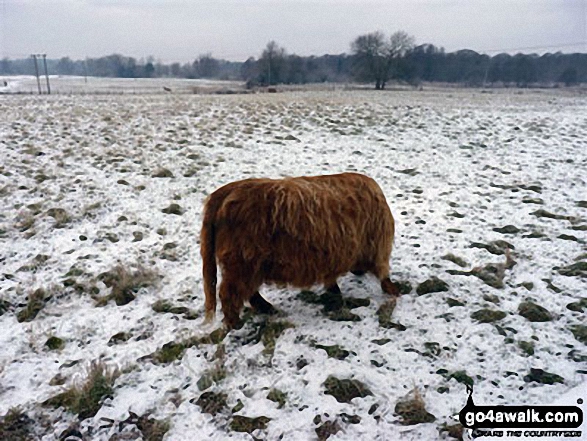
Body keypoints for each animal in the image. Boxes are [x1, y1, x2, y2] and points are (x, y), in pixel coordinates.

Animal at [202, 172, 400, 326]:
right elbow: (383, 271)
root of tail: (224, 192)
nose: (358, 271)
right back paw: (236, 323)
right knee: (229, 292)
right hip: (243, 262)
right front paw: (393, 290)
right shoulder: (376, 243)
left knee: (247, 291)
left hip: (249, 265)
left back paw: (268, 309)